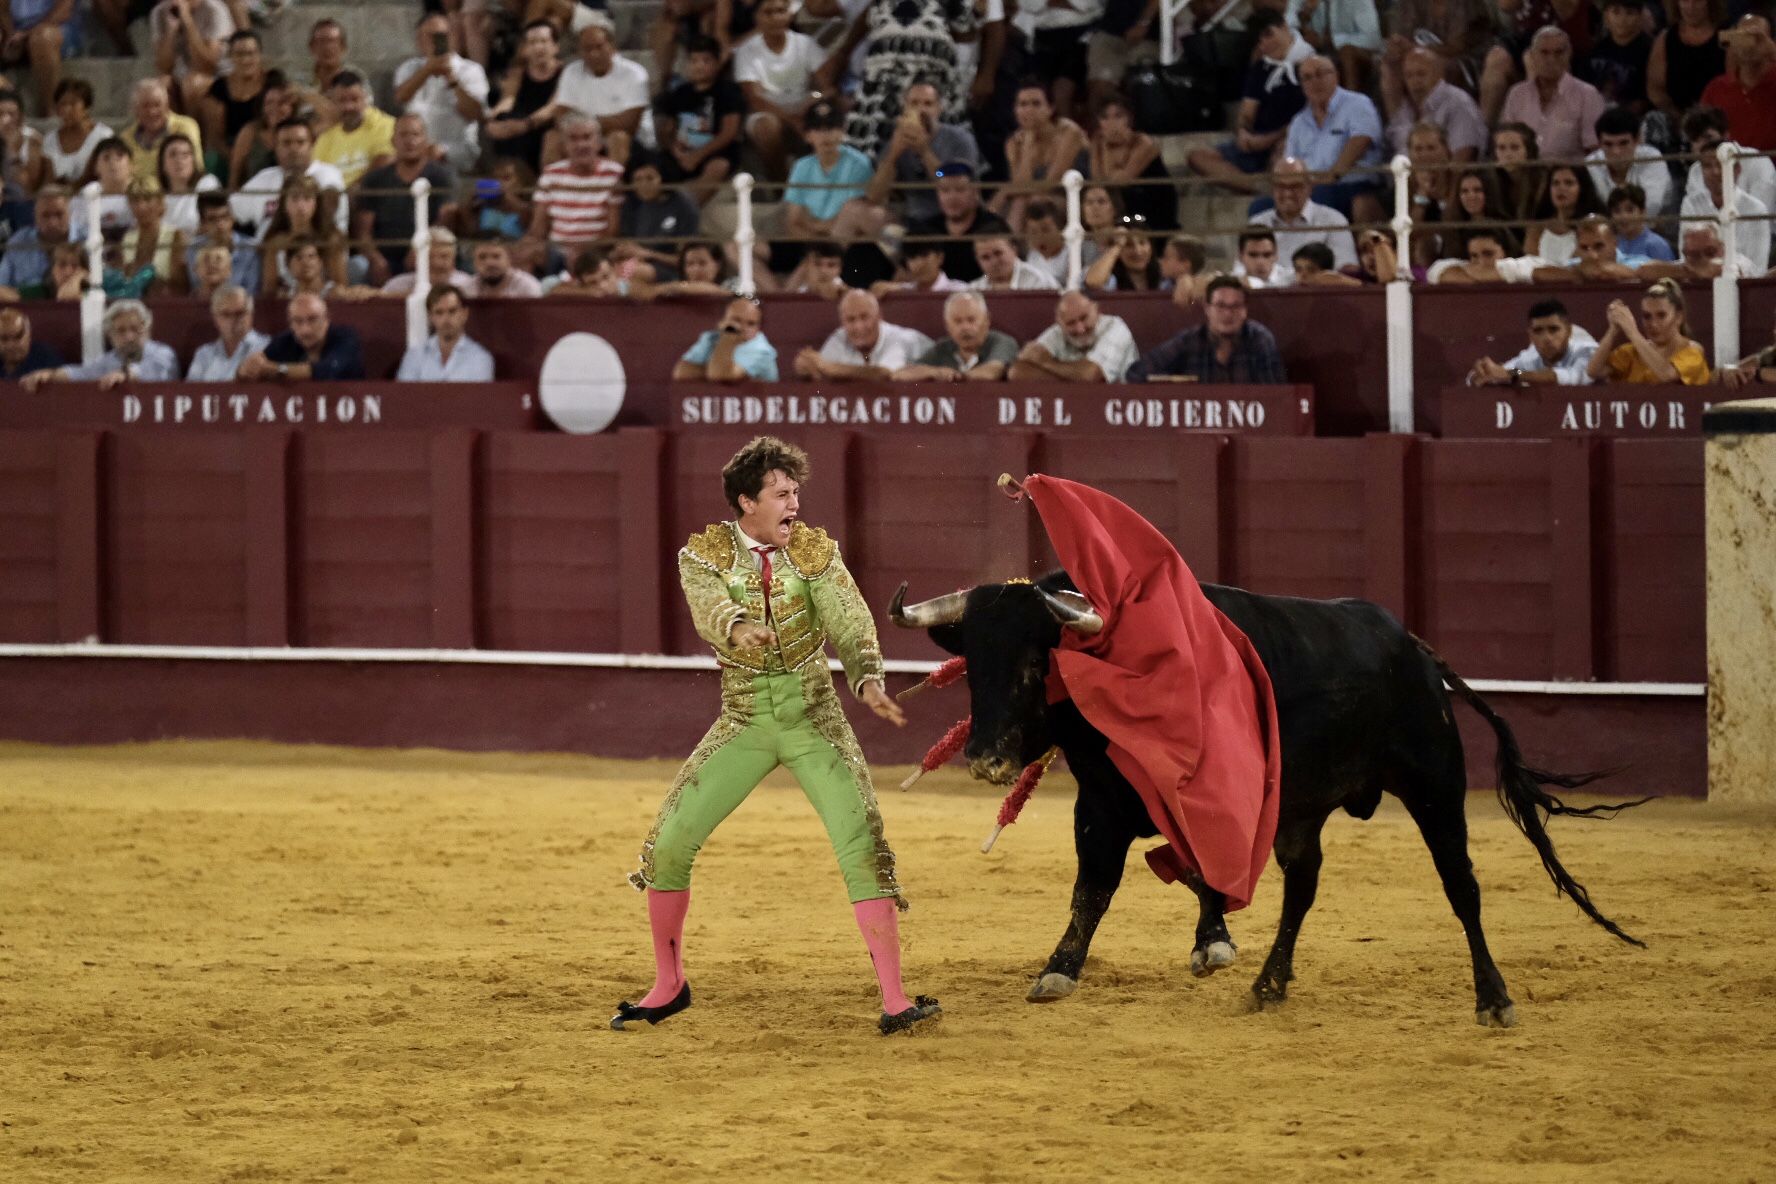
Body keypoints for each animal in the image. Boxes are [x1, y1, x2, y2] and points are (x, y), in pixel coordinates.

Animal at [895, 575, 1641, 1029]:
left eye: (1035, 661)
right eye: (973, 664)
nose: (987, 758)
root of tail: (1412, 648)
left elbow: (1177, 873)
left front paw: (1208, 946)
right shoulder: (1101, 803)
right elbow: (1102, 886)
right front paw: (1063, 967)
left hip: (1435, 785)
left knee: (1461, 885)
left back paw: (1494, 998)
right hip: (1306, 811)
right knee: (1303, 884)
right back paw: (1270, 983)